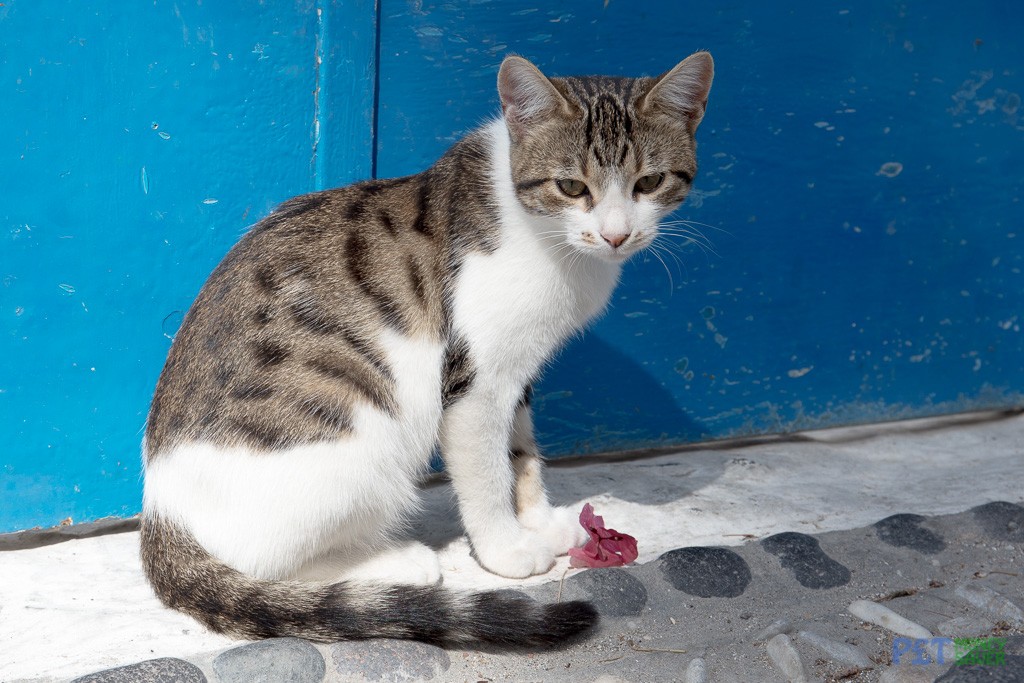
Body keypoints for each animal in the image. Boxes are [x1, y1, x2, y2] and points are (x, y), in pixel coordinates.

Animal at [140, 50, 716, 651]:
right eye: (571, 186)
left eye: (649, 181)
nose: (615, 235)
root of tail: (162, 517)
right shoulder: (474, 382)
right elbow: (487, 474)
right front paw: (506, 549)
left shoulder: (518, 371)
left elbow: (522, 452)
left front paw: (541, 522)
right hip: (362, 439)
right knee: (269, 564)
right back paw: (393, 566)